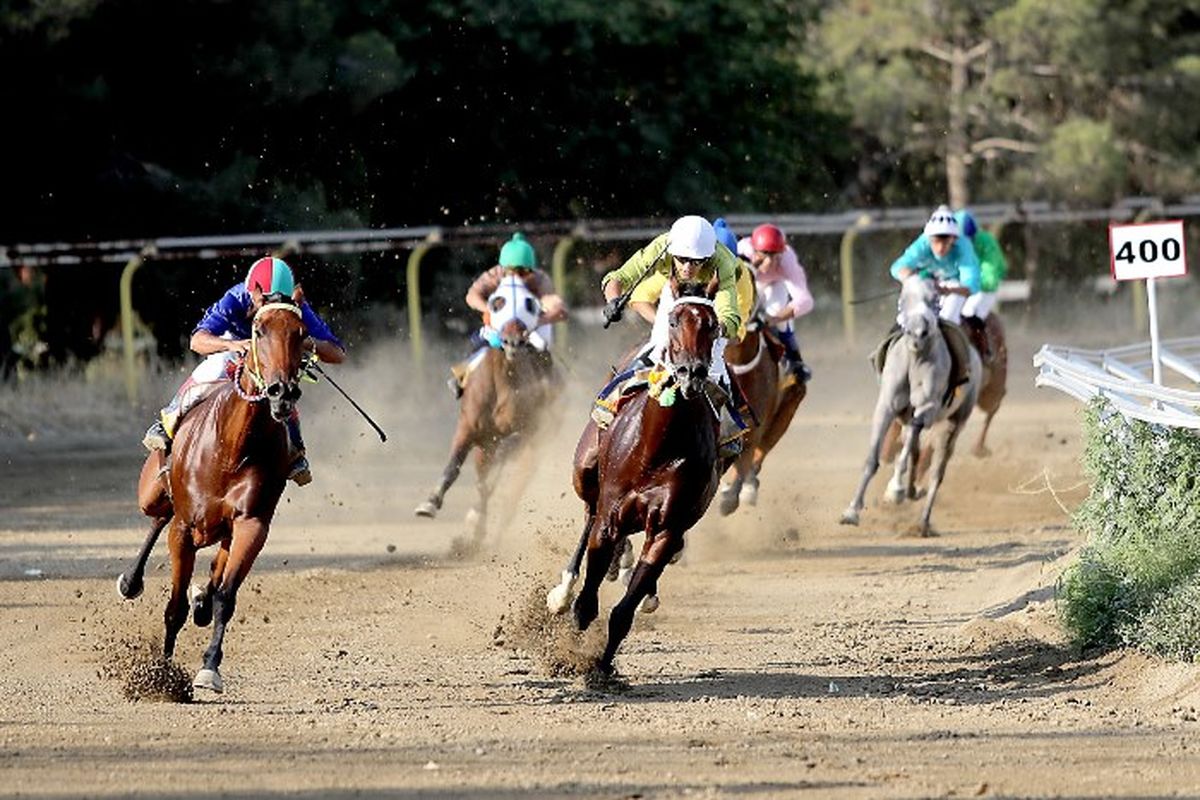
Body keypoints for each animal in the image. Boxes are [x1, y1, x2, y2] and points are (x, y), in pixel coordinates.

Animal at [118, 287, 309, 695]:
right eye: (259, 330)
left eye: (301, 332)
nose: (282, 392)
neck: (231, 447)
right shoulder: (185, 529)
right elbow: (174, 607)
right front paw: (162, 673)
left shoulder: (252, 524)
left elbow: (226, 596)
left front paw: (209, 667)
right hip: (153, 492)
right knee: (158, 515)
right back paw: (131, 581)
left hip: (224, 530)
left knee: (215, 569)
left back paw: (201, 601)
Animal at [412, 275, 561, 537]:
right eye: (497, 303)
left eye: (529, 304)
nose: (512, 341)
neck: (502, 381)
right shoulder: (468, 428)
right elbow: (454, 466)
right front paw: (430, 502)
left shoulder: (526, 430)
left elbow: (500, 462)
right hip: (485, 448)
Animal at [547, 275, 720, 676]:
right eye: (673, 320)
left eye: (714, 324)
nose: (691, 373)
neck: (660, 445)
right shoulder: (611, 513)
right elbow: (586, 603)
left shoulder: (669, 527)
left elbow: (623, 611)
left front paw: (603, 667)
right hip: (585, 469)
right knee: (588, 515)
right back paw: (564, 590)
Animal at [840, 277, 979, 537]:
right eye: (903, 298)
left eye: (935, 298)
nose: (917, 333)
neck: (916, 358)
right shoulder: (886, 407)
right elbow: (873, 459)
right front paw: (851, 511)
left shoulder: (927, 408)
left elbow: (908, 452)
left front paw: (895, 490)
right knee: (913, 446)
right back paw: (913, 491)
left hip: (953, 423)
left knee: (937, 472)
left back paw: (922, 521)